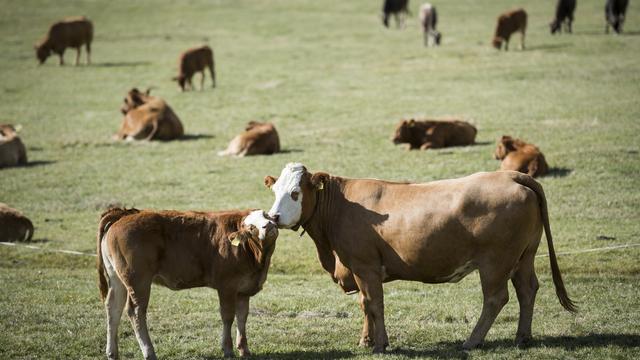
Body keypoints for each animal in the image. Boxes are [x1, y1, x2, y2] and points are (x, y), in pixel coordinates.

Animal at [97, 207, 278, 358]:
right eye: (251, 227)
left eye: (266, 215)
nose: (268, 225)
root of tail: (125, 214)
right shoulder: (227, 287)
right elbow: (228, 317)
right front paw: (227, 349)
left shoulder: (243, 289)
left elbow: (242, 317)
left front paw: (244, 349)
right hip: (138, 280)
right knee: (135, 311)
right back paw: (149, 352)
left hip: (116, 278)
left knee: (113, 307)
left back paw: (112, 352)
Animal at [264, 162, 576, 352]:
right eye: (275, 190)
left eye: (295, 192)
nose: (273, 217)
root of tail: (511, 175)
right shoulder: (359, 268)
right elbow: (365, 305)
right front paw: (366, 340)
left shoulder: (365, 266)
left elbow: (374, 303)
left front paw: (380, 344)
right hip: (524, 257)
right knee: (527, 289)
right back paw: (522, 337)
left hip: (496, 262)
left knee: (496, 298)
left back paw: (472, 341)